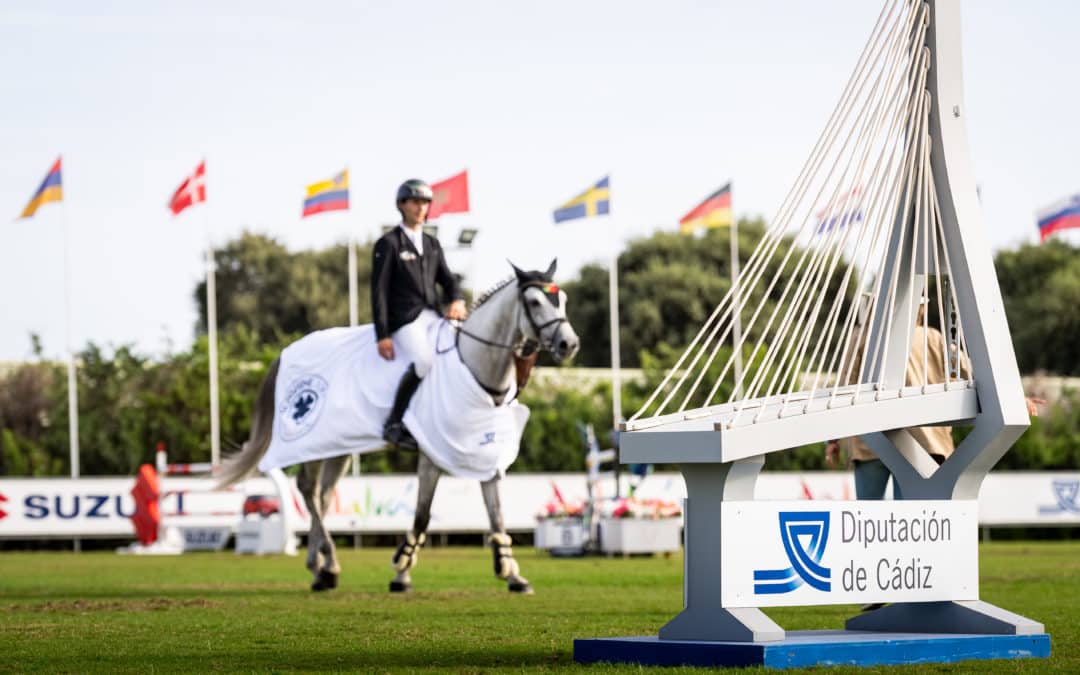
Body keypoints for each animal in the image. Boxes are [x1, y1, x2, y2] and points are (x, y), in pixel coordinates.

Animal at [213, 260, 578, 591]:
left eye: (562, 299)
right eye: (535, 302)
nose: (569, 344)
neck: (474, 367)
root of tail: (285, 353)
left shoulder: (483, 454)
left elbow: (497, 515)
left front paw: (513, 575)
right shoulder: (431, 456)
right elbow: (422, 515)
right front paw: (401, 573)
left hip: (338, 446)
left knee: (323, 494)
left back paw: (322, 568)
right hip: (311, 444)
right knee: (307, 489)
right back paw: (327, 564)